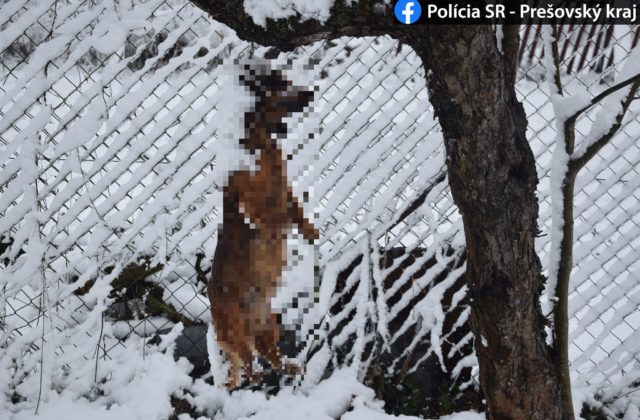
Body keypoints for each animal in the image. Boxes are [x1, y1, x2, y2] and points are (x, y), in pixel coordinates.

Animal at [209, 67, 318, 388]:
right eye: (278, 85)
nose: (311, 93)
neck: (261, 144)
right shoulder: (254, 201)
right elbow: (273, 215)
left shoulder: (284, 185)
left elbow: (295, 208)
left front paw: (310, 231)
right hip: (237, 334)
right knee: (249, 365)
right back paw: (255, 377)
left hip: (268, 325)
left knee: (271, 356)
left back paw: (291, 368)